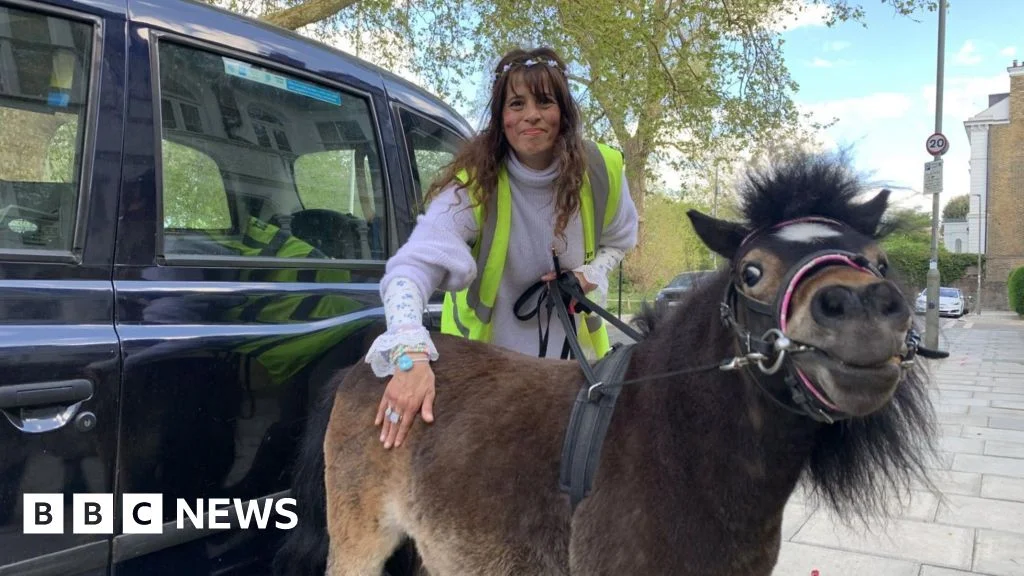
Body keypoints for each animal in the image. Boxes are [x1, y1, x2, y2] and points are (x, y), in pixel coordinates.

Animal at [274, 151, 942, 576]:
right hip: (360, 542)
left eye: (880, 260)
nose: (861, 308)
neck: (684, 447)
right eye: (751, 271)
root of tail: (371, 369)